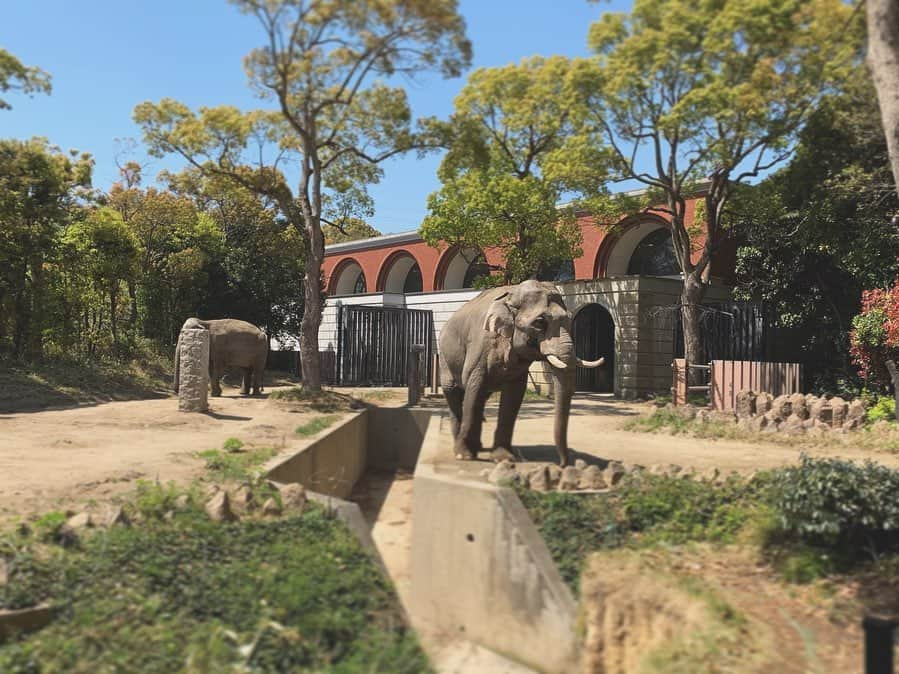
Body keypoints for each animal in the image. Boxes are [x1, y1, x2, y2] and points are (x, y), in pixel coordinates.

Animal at [438, 276, 604, 462]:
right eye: (540, 322)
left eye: (569, 320)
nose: (565, 463)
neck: (511, 294)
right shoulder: (480, 347)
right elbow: (473, 387)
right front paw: (465, 456)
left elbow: (514, 395)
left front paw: (504, 457)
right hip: (445, 357)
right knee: (454, 392)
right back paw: (461, 449)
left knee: (481, 396)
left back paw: (478, 447)